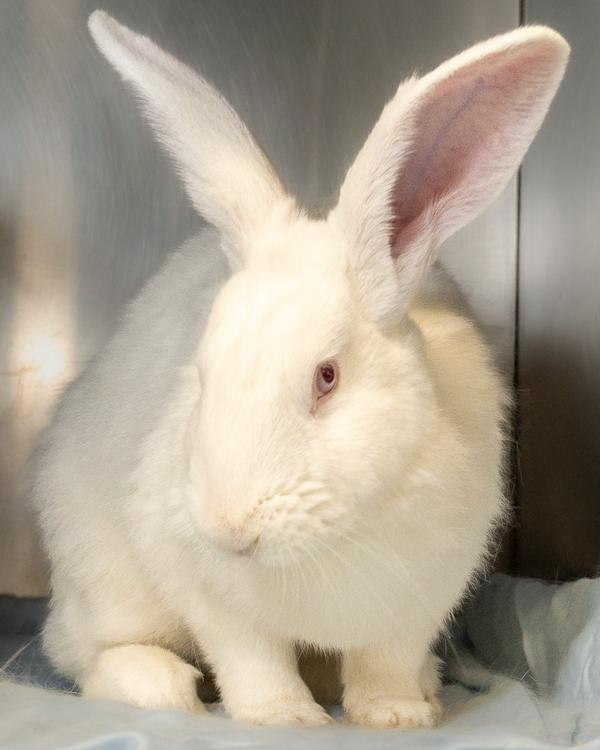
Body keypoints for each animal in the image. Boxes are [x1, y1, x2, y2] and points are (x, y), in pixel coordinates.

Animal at [31, 9, 569, 729]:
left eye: (327, 376)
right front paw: (282, 718)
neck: (333, 540)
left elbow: (386, 662)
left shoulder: (420, 599)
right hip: (103, 581)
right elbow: (251, 659)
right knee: (92, 654)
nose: (228, 529)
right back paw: (161, 686)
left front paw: (397, 715)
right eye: (201, 373)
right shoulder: (210, 595)